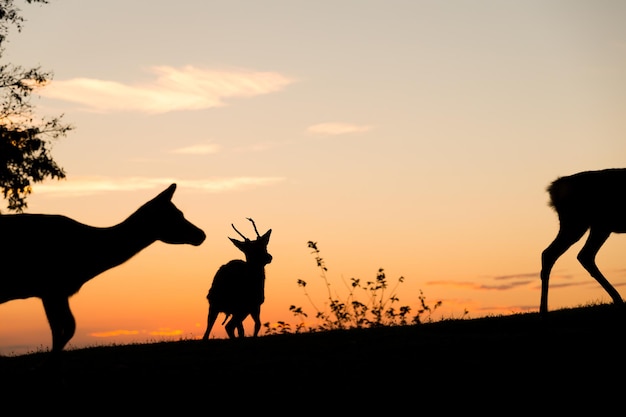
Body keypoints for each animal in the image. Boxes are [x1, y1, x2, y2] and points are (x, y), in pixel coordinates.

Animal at [0, 184, 206, 352]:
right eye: (176, 216)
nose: (201, 234)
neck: (89, 260)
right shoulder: (52, 287)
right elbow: (64, 329)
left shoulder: (55, 291)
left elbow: (64, 329)